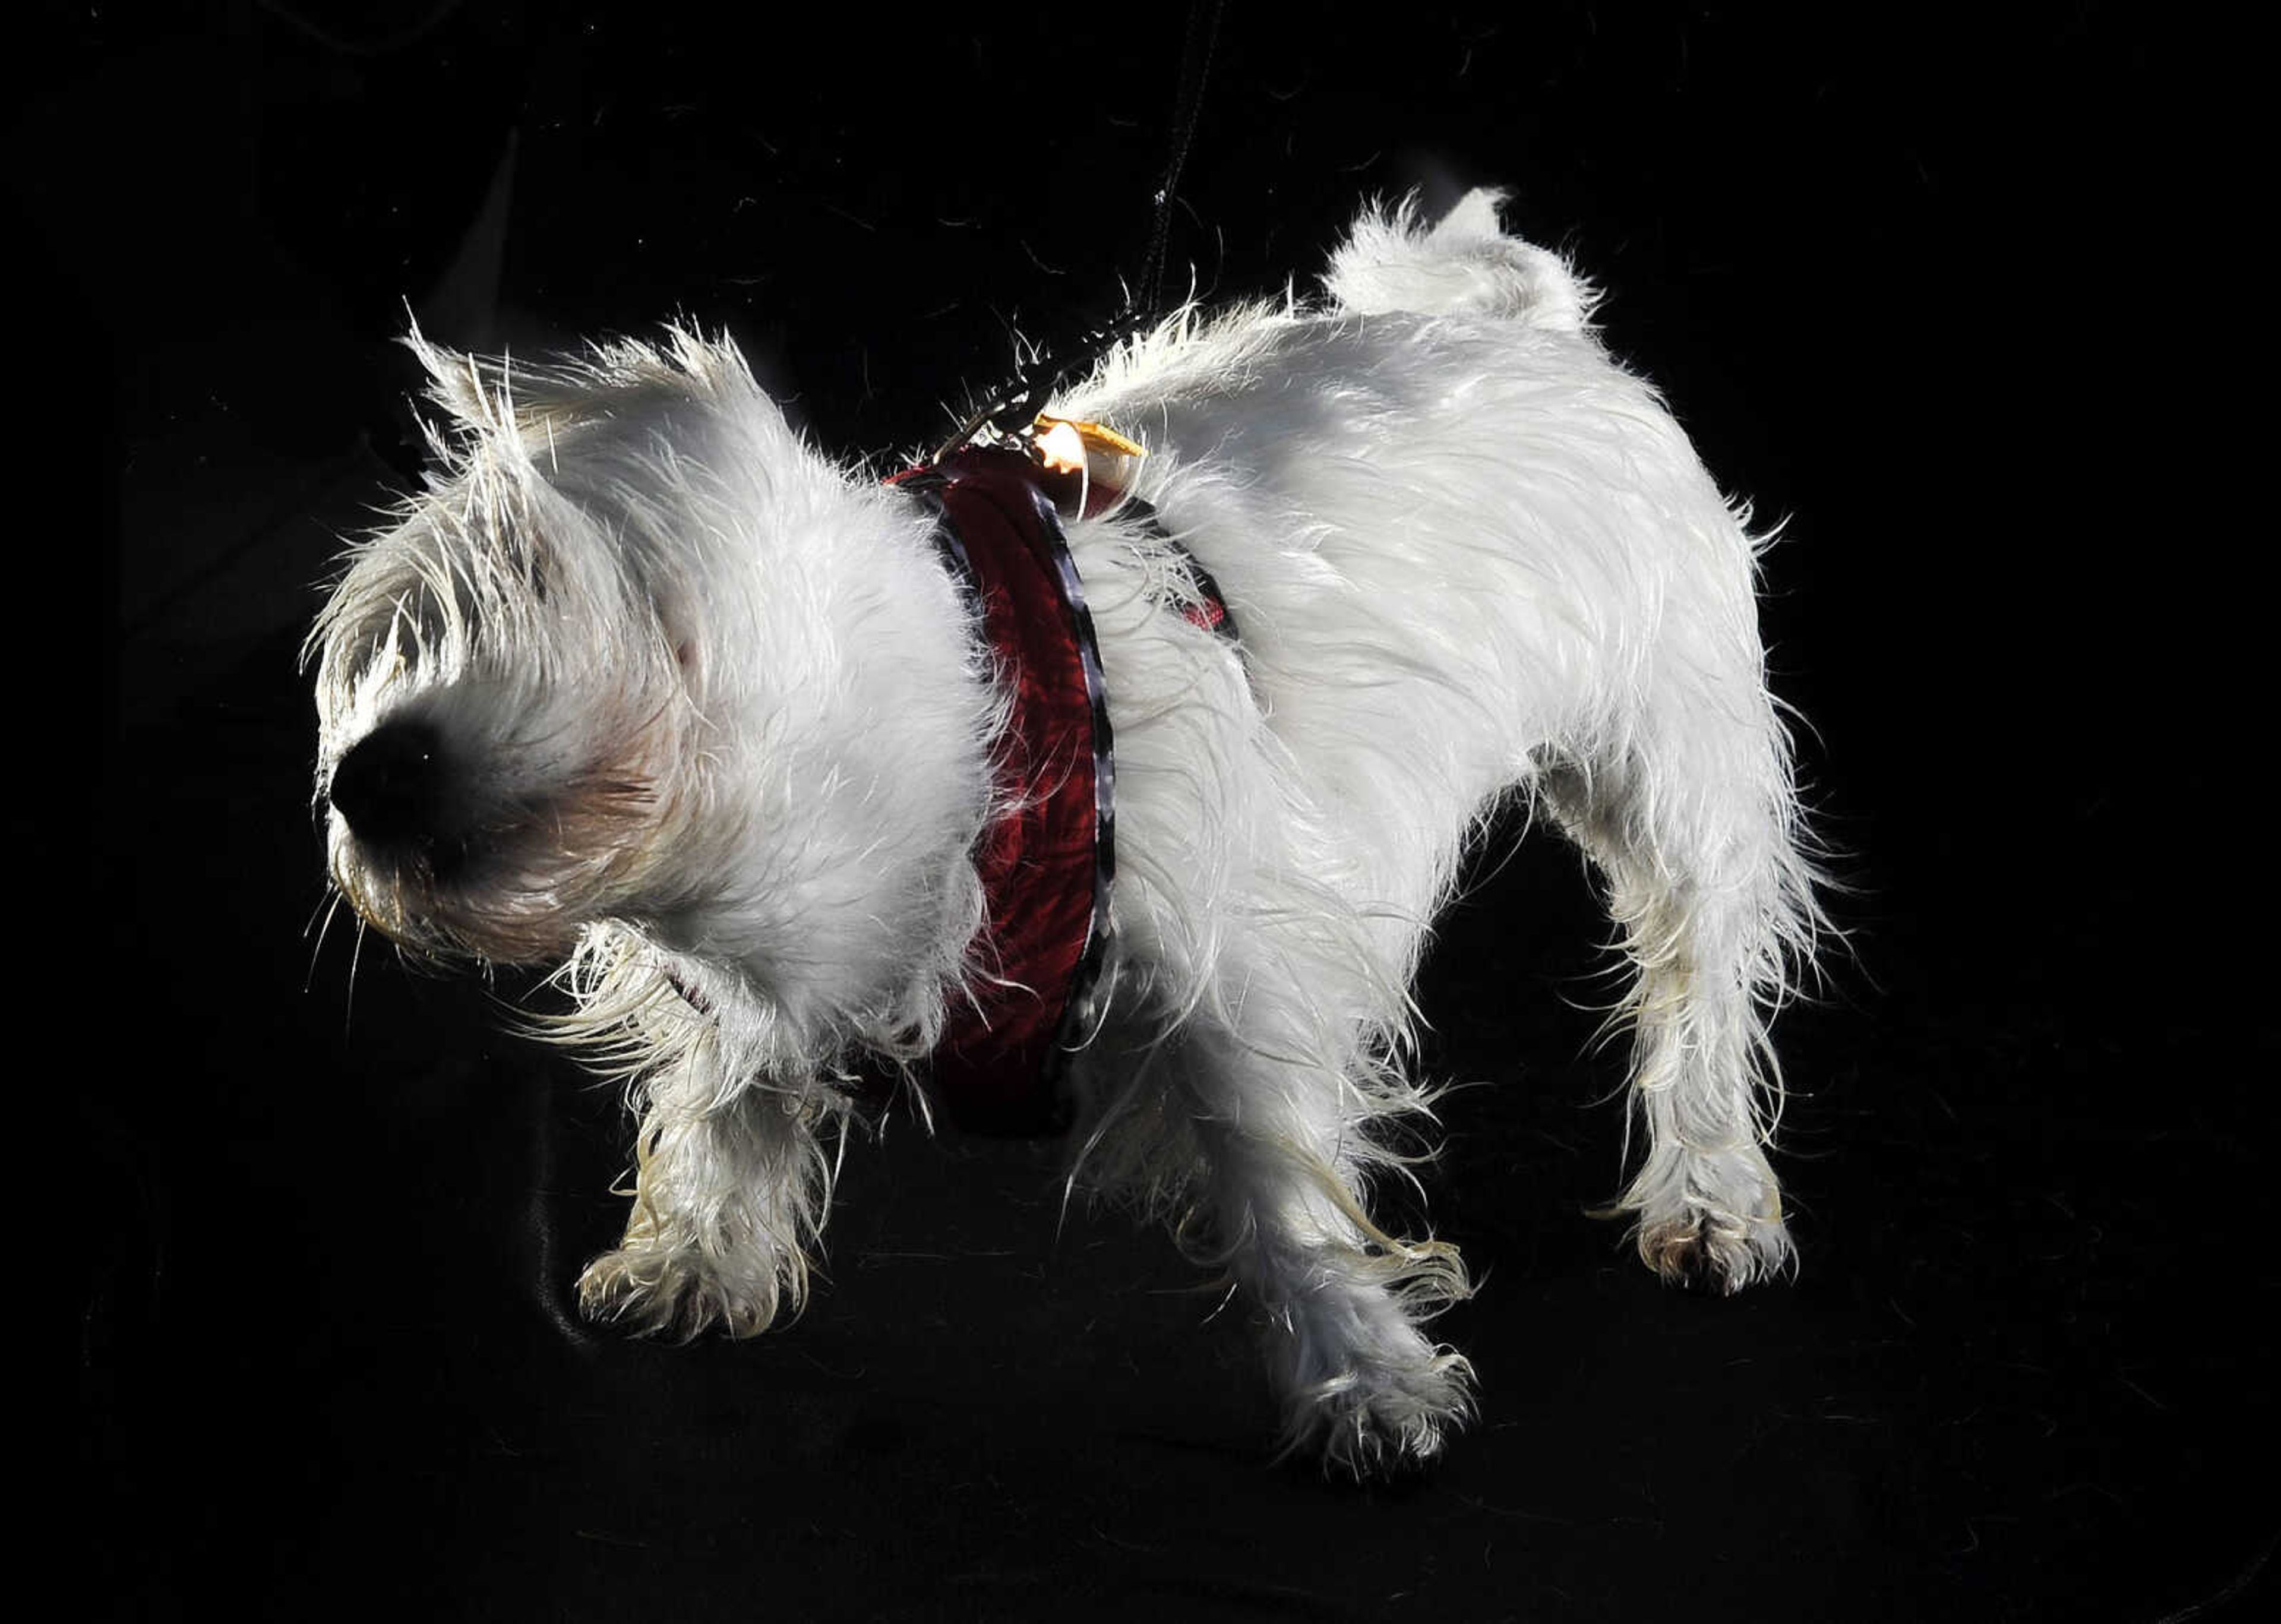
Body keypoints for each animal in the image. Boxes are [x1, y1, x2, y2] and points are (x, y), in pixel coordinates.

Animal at [312, 190, 1825, 1468]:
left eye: (596, 626)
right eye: (427, 617)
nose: (366, 774)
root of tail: (1525, 325)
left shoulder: (1236, 962)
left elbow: (1279, 1173)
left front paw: (1361, 1372)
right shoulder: (756, 981)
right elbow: (725, 1100)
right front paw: (698, 1257)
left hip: (1678, 763)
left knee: (1698, 977)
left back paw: (1709, 1193)